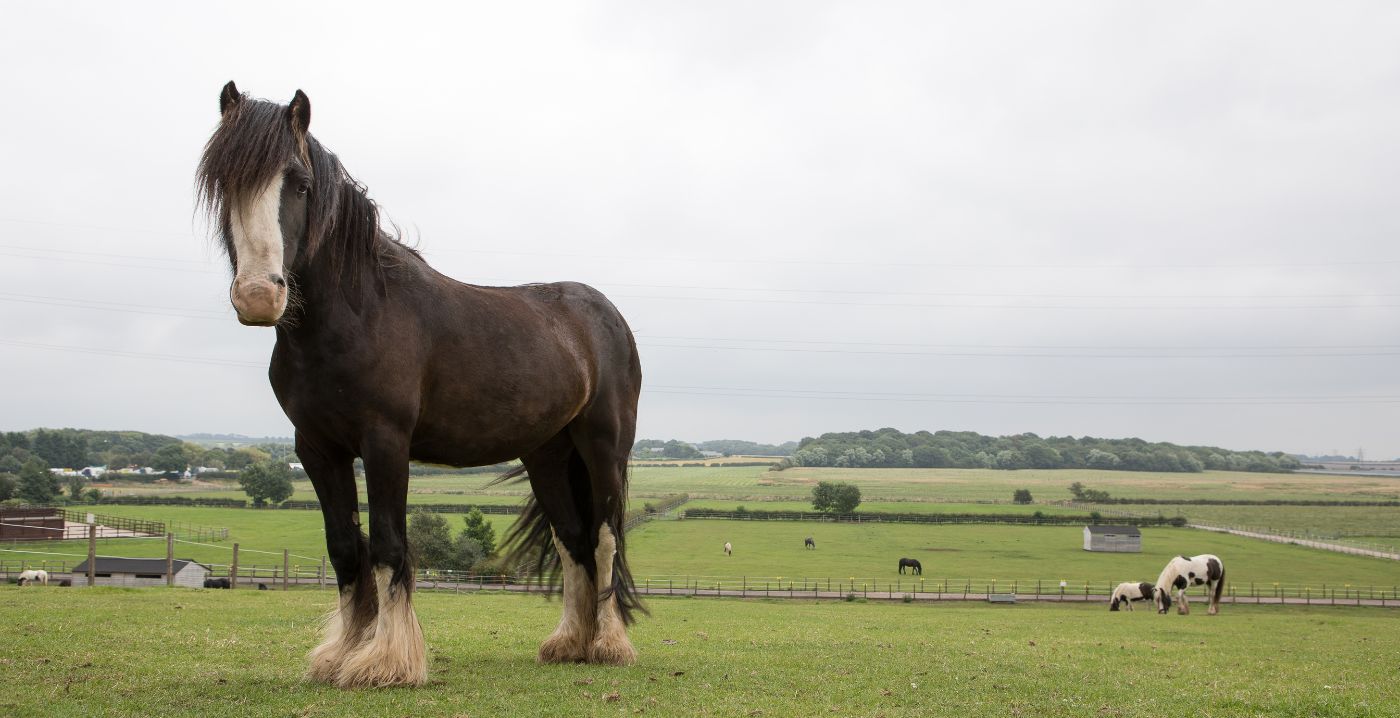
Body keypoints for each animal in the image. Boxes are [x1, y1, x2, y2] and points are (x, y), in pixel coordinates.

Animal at [198, 83, 644, 688]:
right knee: (571, 538)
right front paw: (341, 654)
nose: (259, 296)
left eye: (301, 183)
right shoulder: (316, 448)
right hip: (547, 454)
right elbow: (345, 547)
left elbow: (389, 544)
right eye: (224, 183)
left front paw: (387, 661)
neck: (357, 315)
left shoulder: (386, 441)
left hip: (603, 446)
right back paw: (570, 643)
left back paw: (609, 645)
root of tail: (605, 314)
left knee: (603, 537)